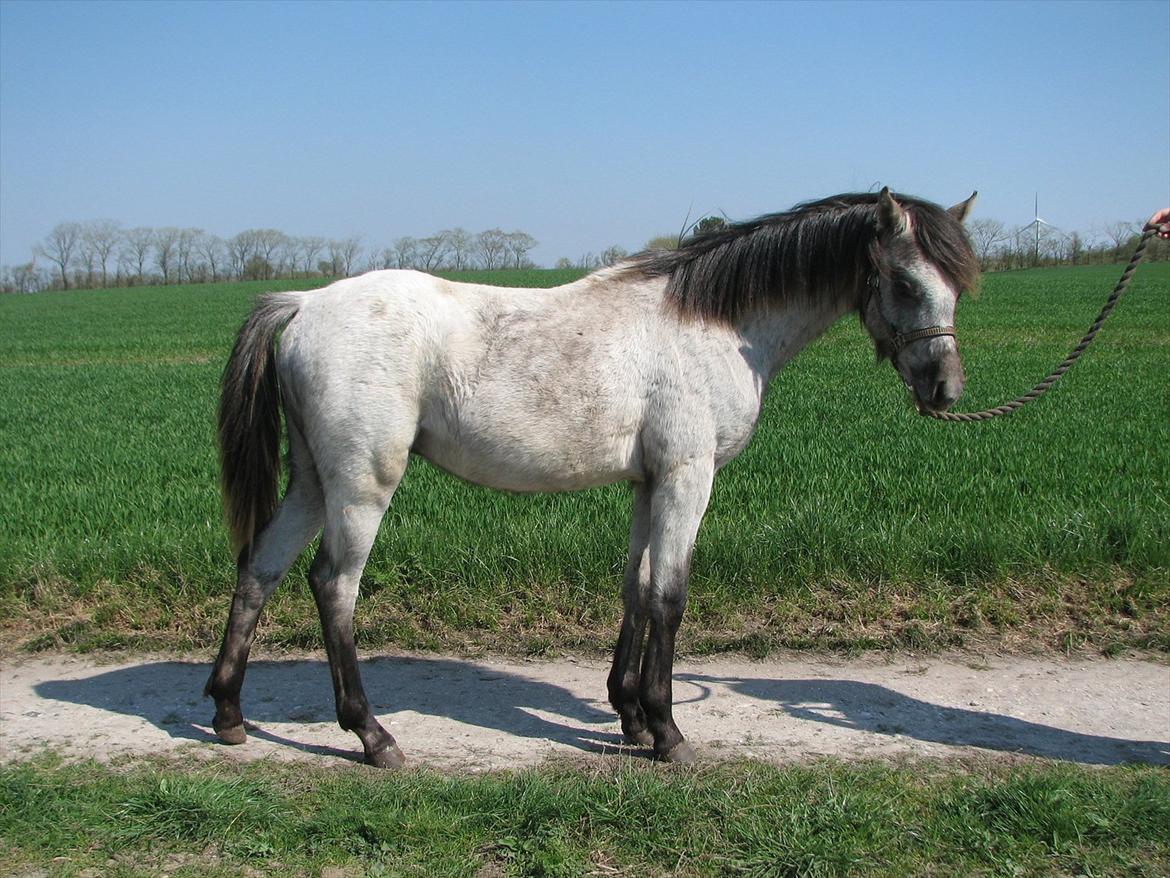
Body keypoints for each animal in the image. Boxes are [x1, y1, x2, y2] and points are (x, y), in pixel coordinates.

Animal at [205, 187, 980, 767]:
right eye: (905, 283)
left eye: (957, 288)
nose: (945, 389)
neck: (713, 326)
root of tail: (306, 303)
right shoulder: (687, 477)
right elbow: (669, 595)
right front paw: (667, 732)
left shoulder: (647, 481)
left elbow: (635, 587)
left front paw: (630, 715)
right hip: (363, 485)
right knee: (333, 586)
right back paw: (372, 736)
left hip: (313, 481)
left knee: (260, 569)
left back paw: (229, 712)